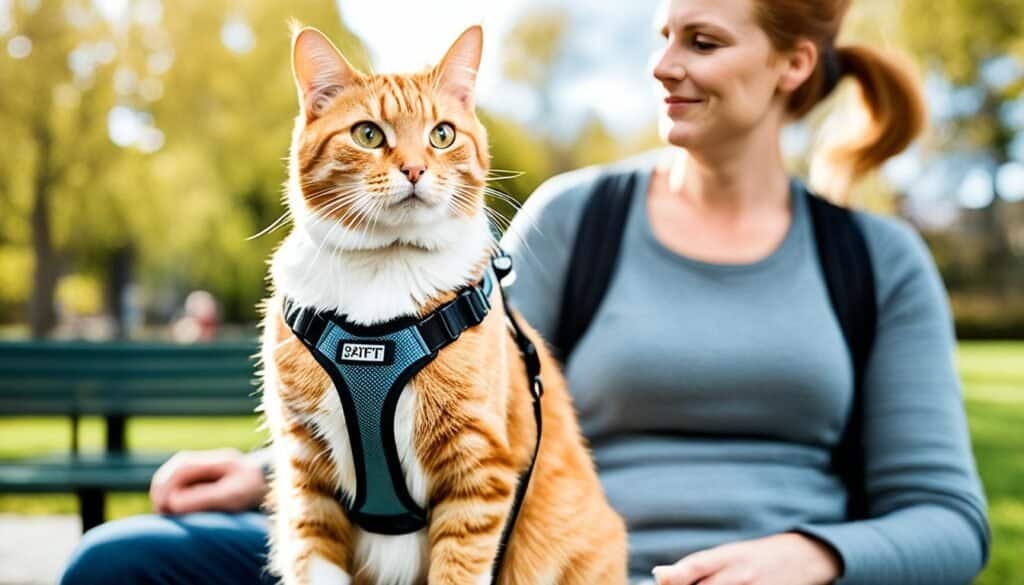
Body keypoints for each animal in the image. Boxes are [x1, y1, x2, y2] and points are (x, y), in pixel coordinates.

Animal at [258, 24, 622, 585]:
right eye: (368, 135)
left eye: (442, 135)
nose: (414, 169)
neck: (384, 272)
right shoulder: (307, 480)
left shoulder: (477, 472)